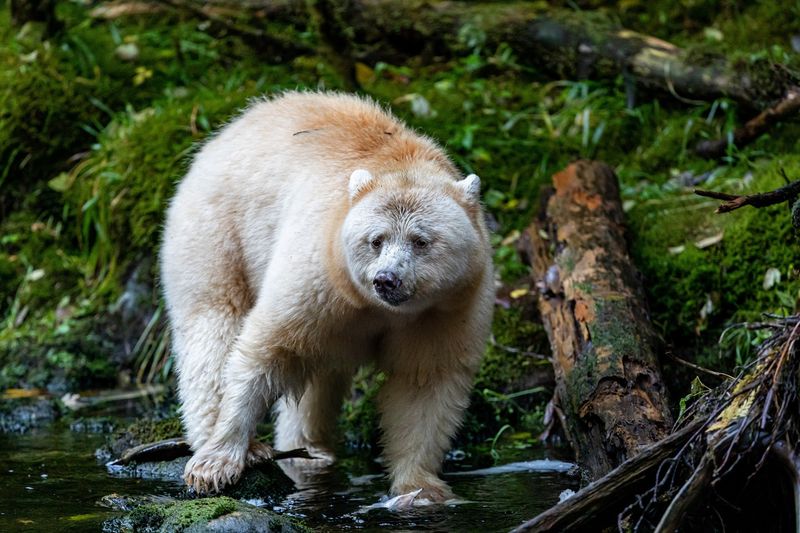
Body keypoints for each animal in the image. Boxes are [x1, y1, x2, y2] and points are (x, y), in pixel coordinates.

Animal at [160, 91, 494, 501]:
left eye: (421, 241)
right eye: (376, 240)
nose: (386, 280)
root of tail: (223, 132)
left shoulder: (446, 308)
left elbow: (423, 382)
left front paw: (419, 489)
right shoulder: (319, 274)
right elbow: (266, 348)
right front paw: (217, 462)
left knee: (321, 375)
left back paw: (310, 450)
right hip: (217, 232)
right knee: (212, 327)